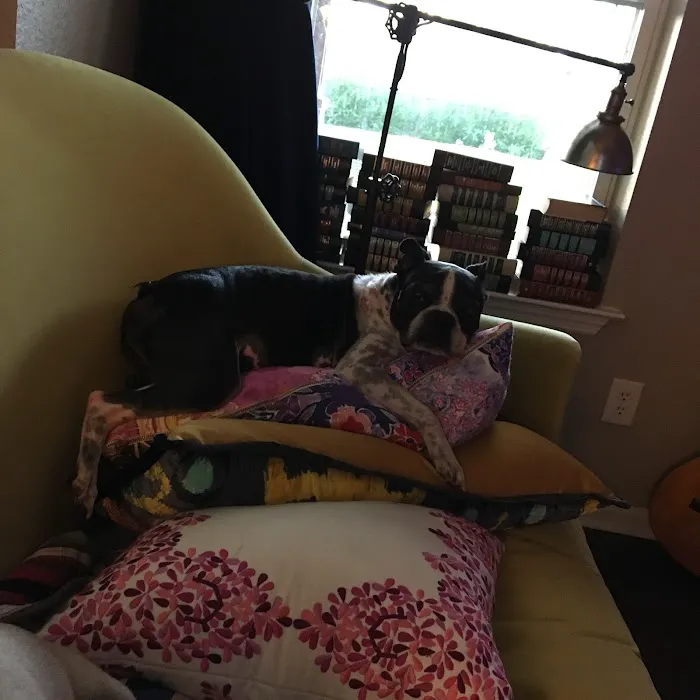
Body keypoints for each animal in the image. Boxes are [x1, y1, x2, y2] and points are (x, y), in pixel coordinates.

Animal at [73, 239, 487, 514]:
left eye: (469, 311)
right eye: (418, 297)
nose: (441, 319)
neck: (388, 302)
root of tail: (151, 291)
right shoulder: (359, 367)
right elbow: (423, 409)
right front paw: (448, 459)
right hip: (211, 380)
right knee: (100, 401)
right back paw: (85, 481)